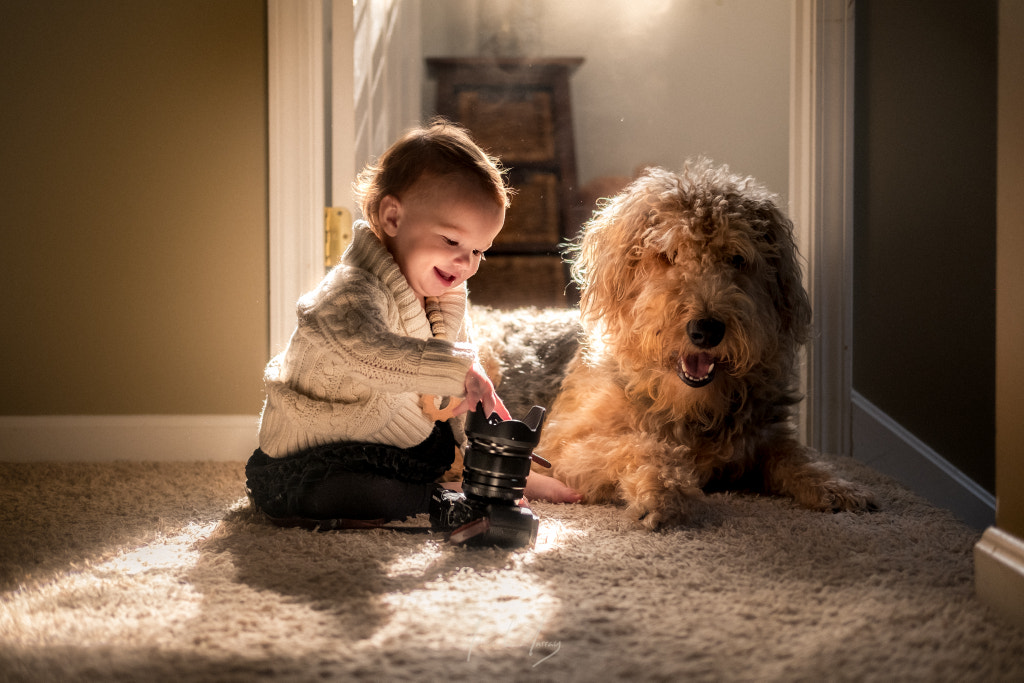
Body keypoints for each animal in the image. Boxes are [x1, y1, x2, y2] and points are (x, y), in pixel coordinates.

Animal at [475, 160, 876, 528]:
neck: (692, 409)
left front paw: (839, 488)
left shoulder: (766, 434)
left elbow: (798, 457)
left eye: (737, 258)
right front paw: (666, 495)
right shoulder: (565, 443)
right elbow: (643, 446)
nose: (706, 330)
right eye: (668, 255)